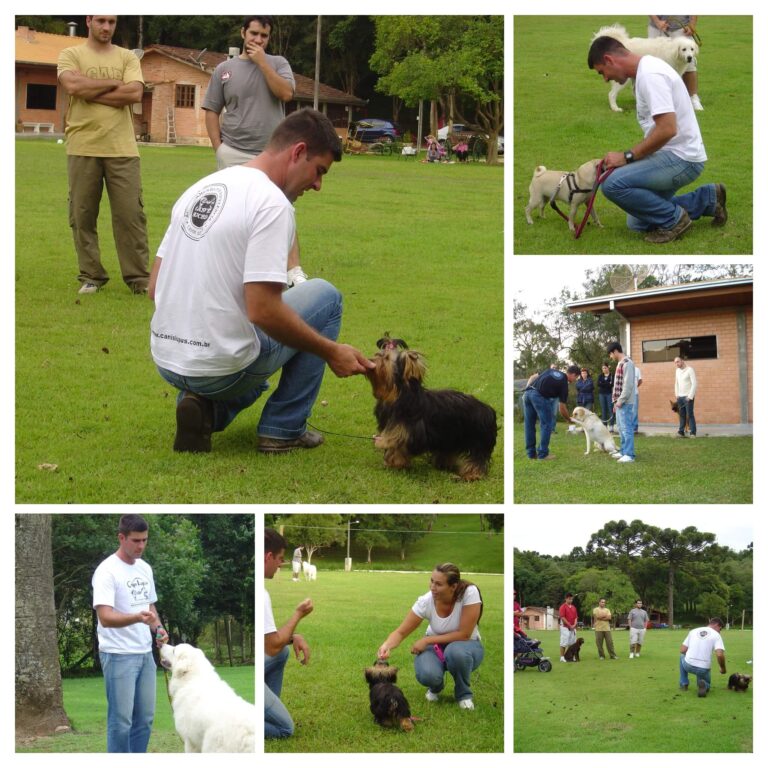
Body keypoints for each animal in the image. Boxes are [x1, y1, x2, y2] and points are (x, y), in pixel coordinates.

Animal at [366, 334, 498, 480]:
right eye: (377, 354)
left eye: (386, 358)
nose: (370, 360)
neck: (397, 395)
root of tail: (488, 410)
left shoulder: (405, 431)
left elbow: (398, 448)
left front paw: (395, 463)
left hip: (477, 439)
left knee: (477, 457)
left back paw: (471, 475)